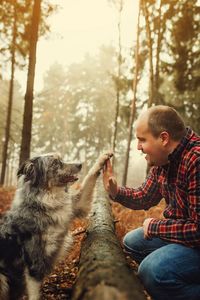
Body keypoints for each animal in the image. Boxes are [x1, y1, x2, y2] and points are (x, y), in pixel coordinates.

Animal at [0, 154, 111, 298]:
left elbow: (89, 178)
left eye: (61, 159)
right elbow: (34, 295)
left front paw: (104, 157)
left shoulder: (76, 205)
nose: (80, 164)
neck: (46, 201)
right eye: (55, 163)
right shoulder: (34, 263)